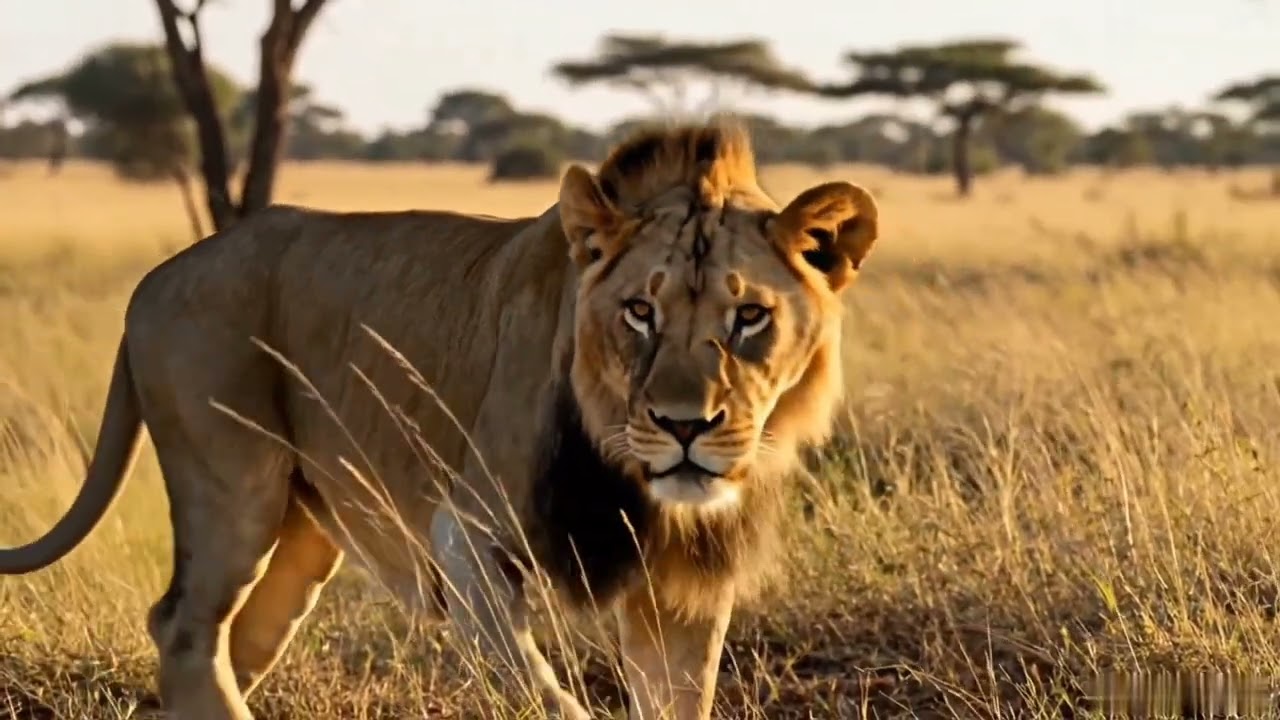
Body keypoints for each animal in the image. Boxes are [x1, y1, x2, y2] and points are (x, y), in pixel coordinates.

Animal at [0, 119, 881, 720]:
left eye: (750, 317)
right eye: (640, 312)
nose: (685, 426)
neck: (634, 480)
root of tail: (158, 276)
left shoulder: (684, 590)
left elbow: (677, 698)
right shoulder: (466, 535)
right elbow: (542, 695)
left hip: (303, 535)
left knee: (227, 640)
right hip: (233, 488)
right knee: (182, 627)